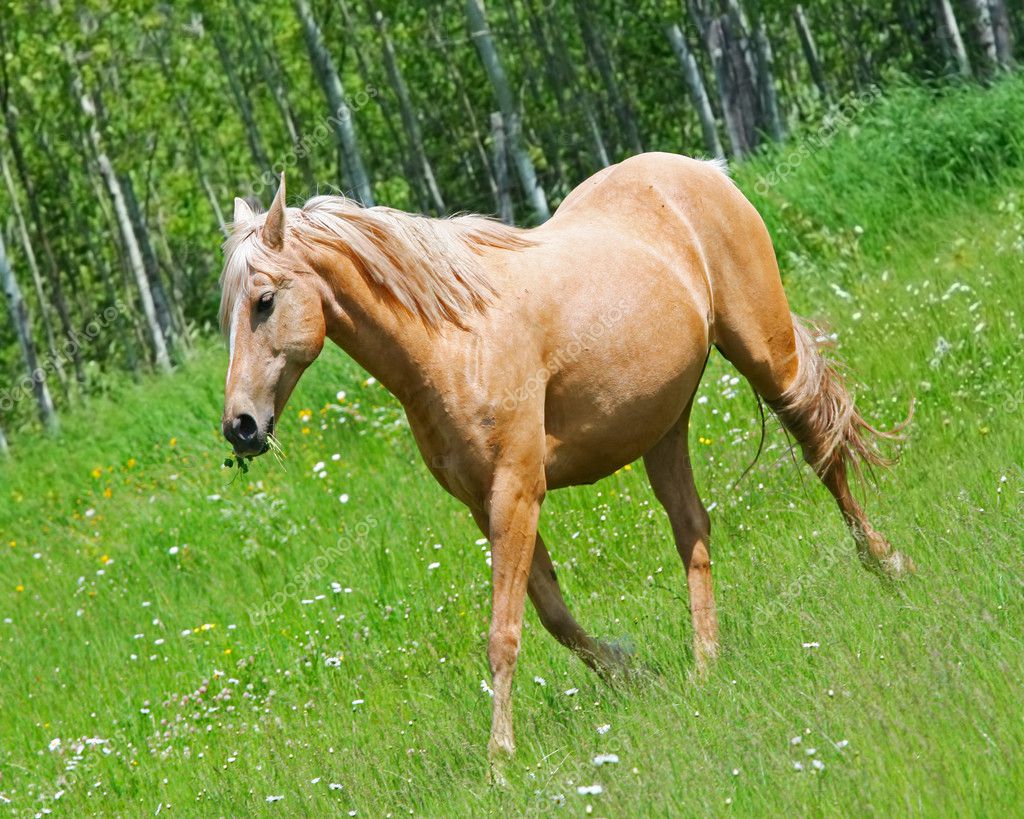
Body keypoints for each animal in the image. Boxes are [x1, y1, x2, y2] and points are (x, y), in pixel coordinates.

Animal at [220, 153, 909, 773]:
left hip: (767, 355)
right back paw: (704, 666)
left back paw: (886, 566)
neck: (455, 339)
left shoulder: (517, 490)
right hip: (665, 426)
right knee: (694, 529)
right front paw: (632, 673)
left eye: (264, 301)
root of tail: (702, 170)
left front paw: (500, 762)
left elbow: (503, 633)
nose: (240, 427)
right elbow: (552, 614)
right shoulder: (485, 505)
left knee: (822, 449)